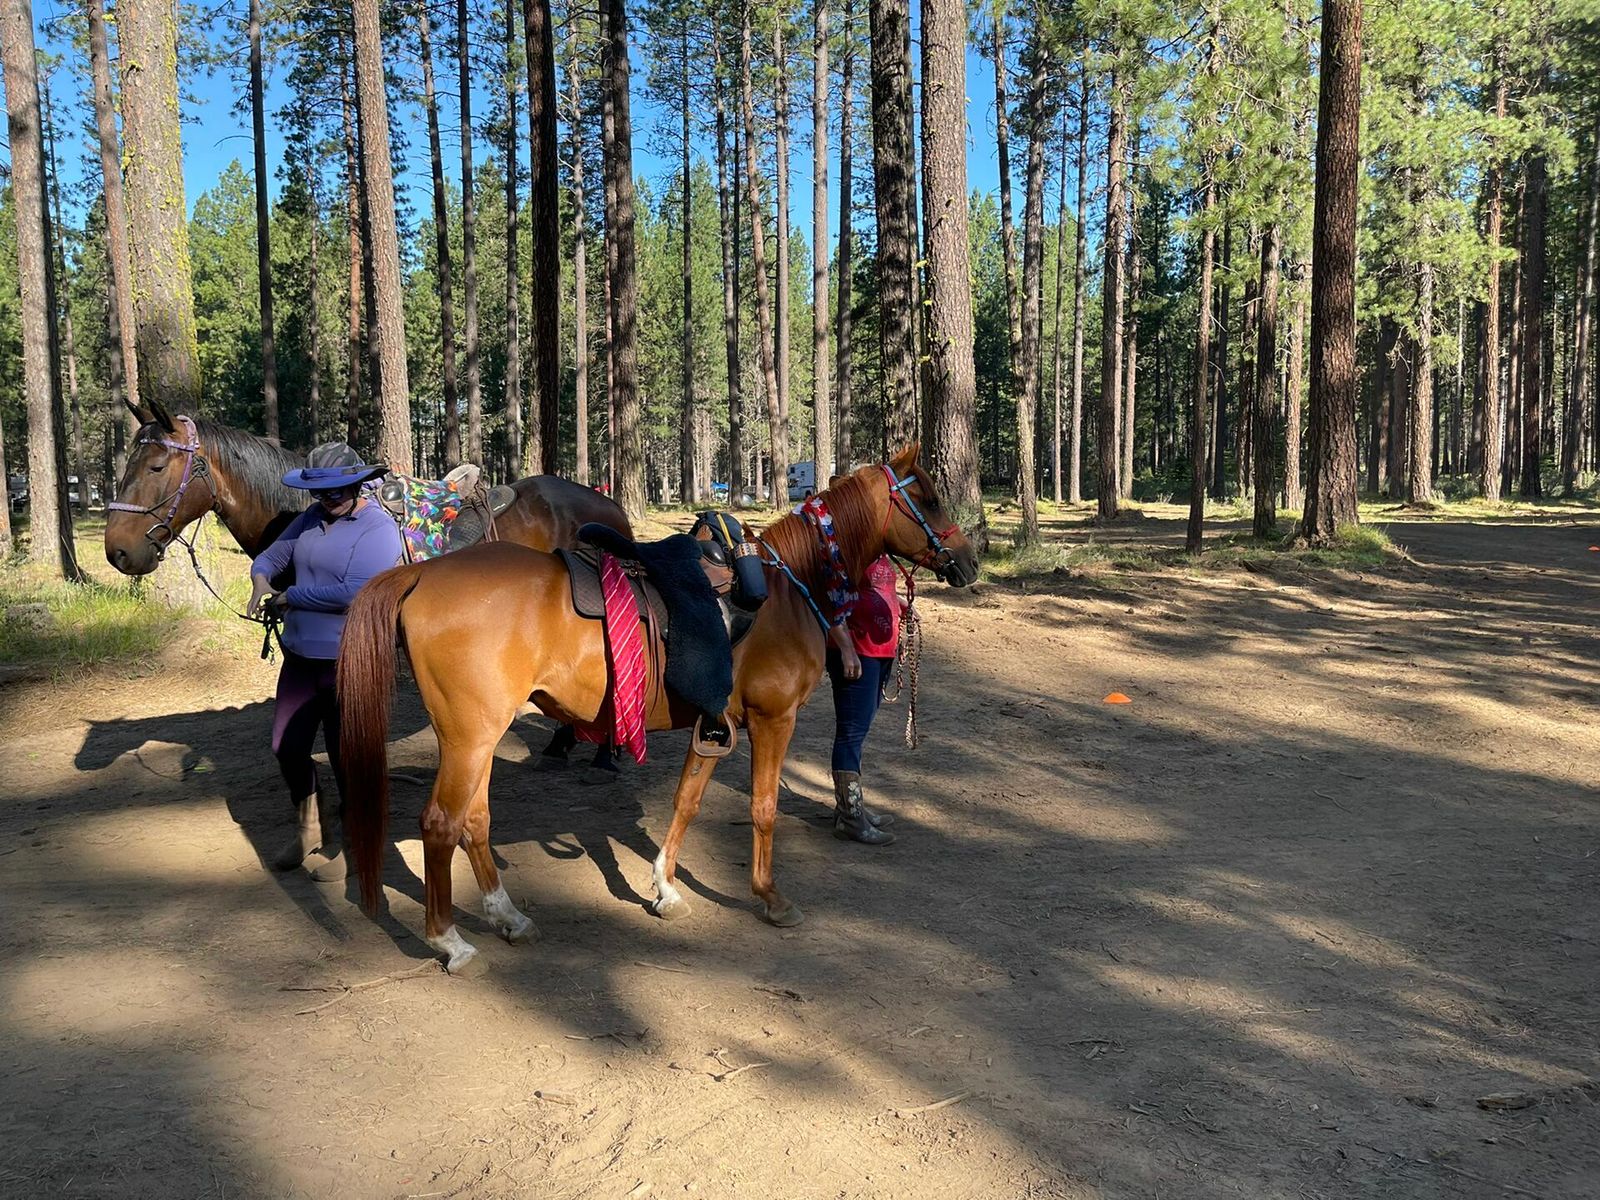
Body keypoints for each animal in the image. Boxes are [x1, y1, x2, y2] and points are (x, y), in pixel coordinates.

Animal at [335, 444, 980, 973]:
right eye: (927, 496)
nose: (970, 561)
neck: (789, 589)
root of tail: (422, 573)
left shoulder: (715, 726)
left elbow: (686, 802)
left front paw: (666, 887)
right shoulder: (774, 720)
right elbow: (765, 808)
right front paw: (769, 897)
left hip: (481, 739)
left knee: (475, 821)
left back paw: (507, 916)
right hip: (470, 738)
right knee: (440, 824)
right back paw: (450, 940)